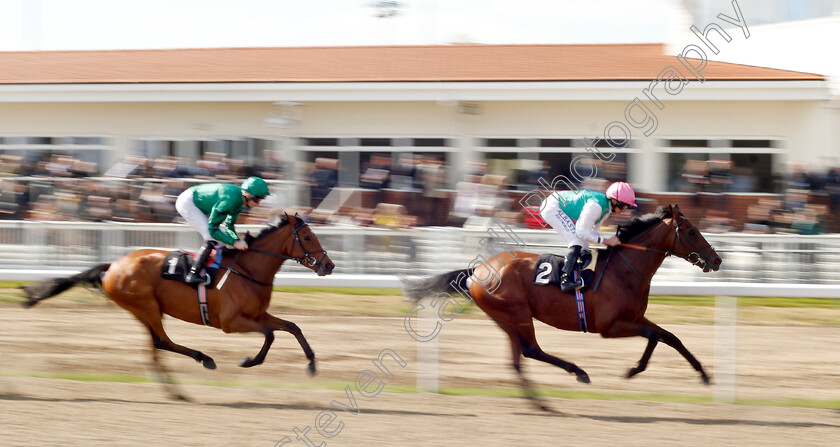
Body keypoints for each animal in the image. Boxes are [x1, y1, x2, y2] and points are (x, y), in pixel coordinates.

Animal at [20, 214, 334, 400]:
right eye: (308, 237)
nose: (329, 265)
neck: (248, 269)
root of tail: (113, 265)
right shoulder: (231, 323)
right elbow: (270, 334)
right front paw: (248, 361)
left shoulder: (257, 314)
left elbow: (292, 327)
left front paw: (311, 364)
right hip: (147, 307)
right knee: (162, 342)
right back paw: (203, 360)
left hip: (144, 312)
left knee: (155, 347)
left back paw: (175, 390)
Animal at [400, 205, 720, 412]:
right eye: (691, 231)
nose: (716, 260)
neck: (624, 270)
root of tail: (477, 269)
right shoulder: (611, 327)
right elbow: (656, 337)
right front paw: (634, 370)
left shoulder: (635, 318)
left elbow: (669, 337)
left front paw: (702, 374)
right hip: (517, 313)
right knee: (531, 350)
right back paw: (578, 373)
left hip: (505, 319)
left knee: (518, 359)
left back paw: (540, 402)